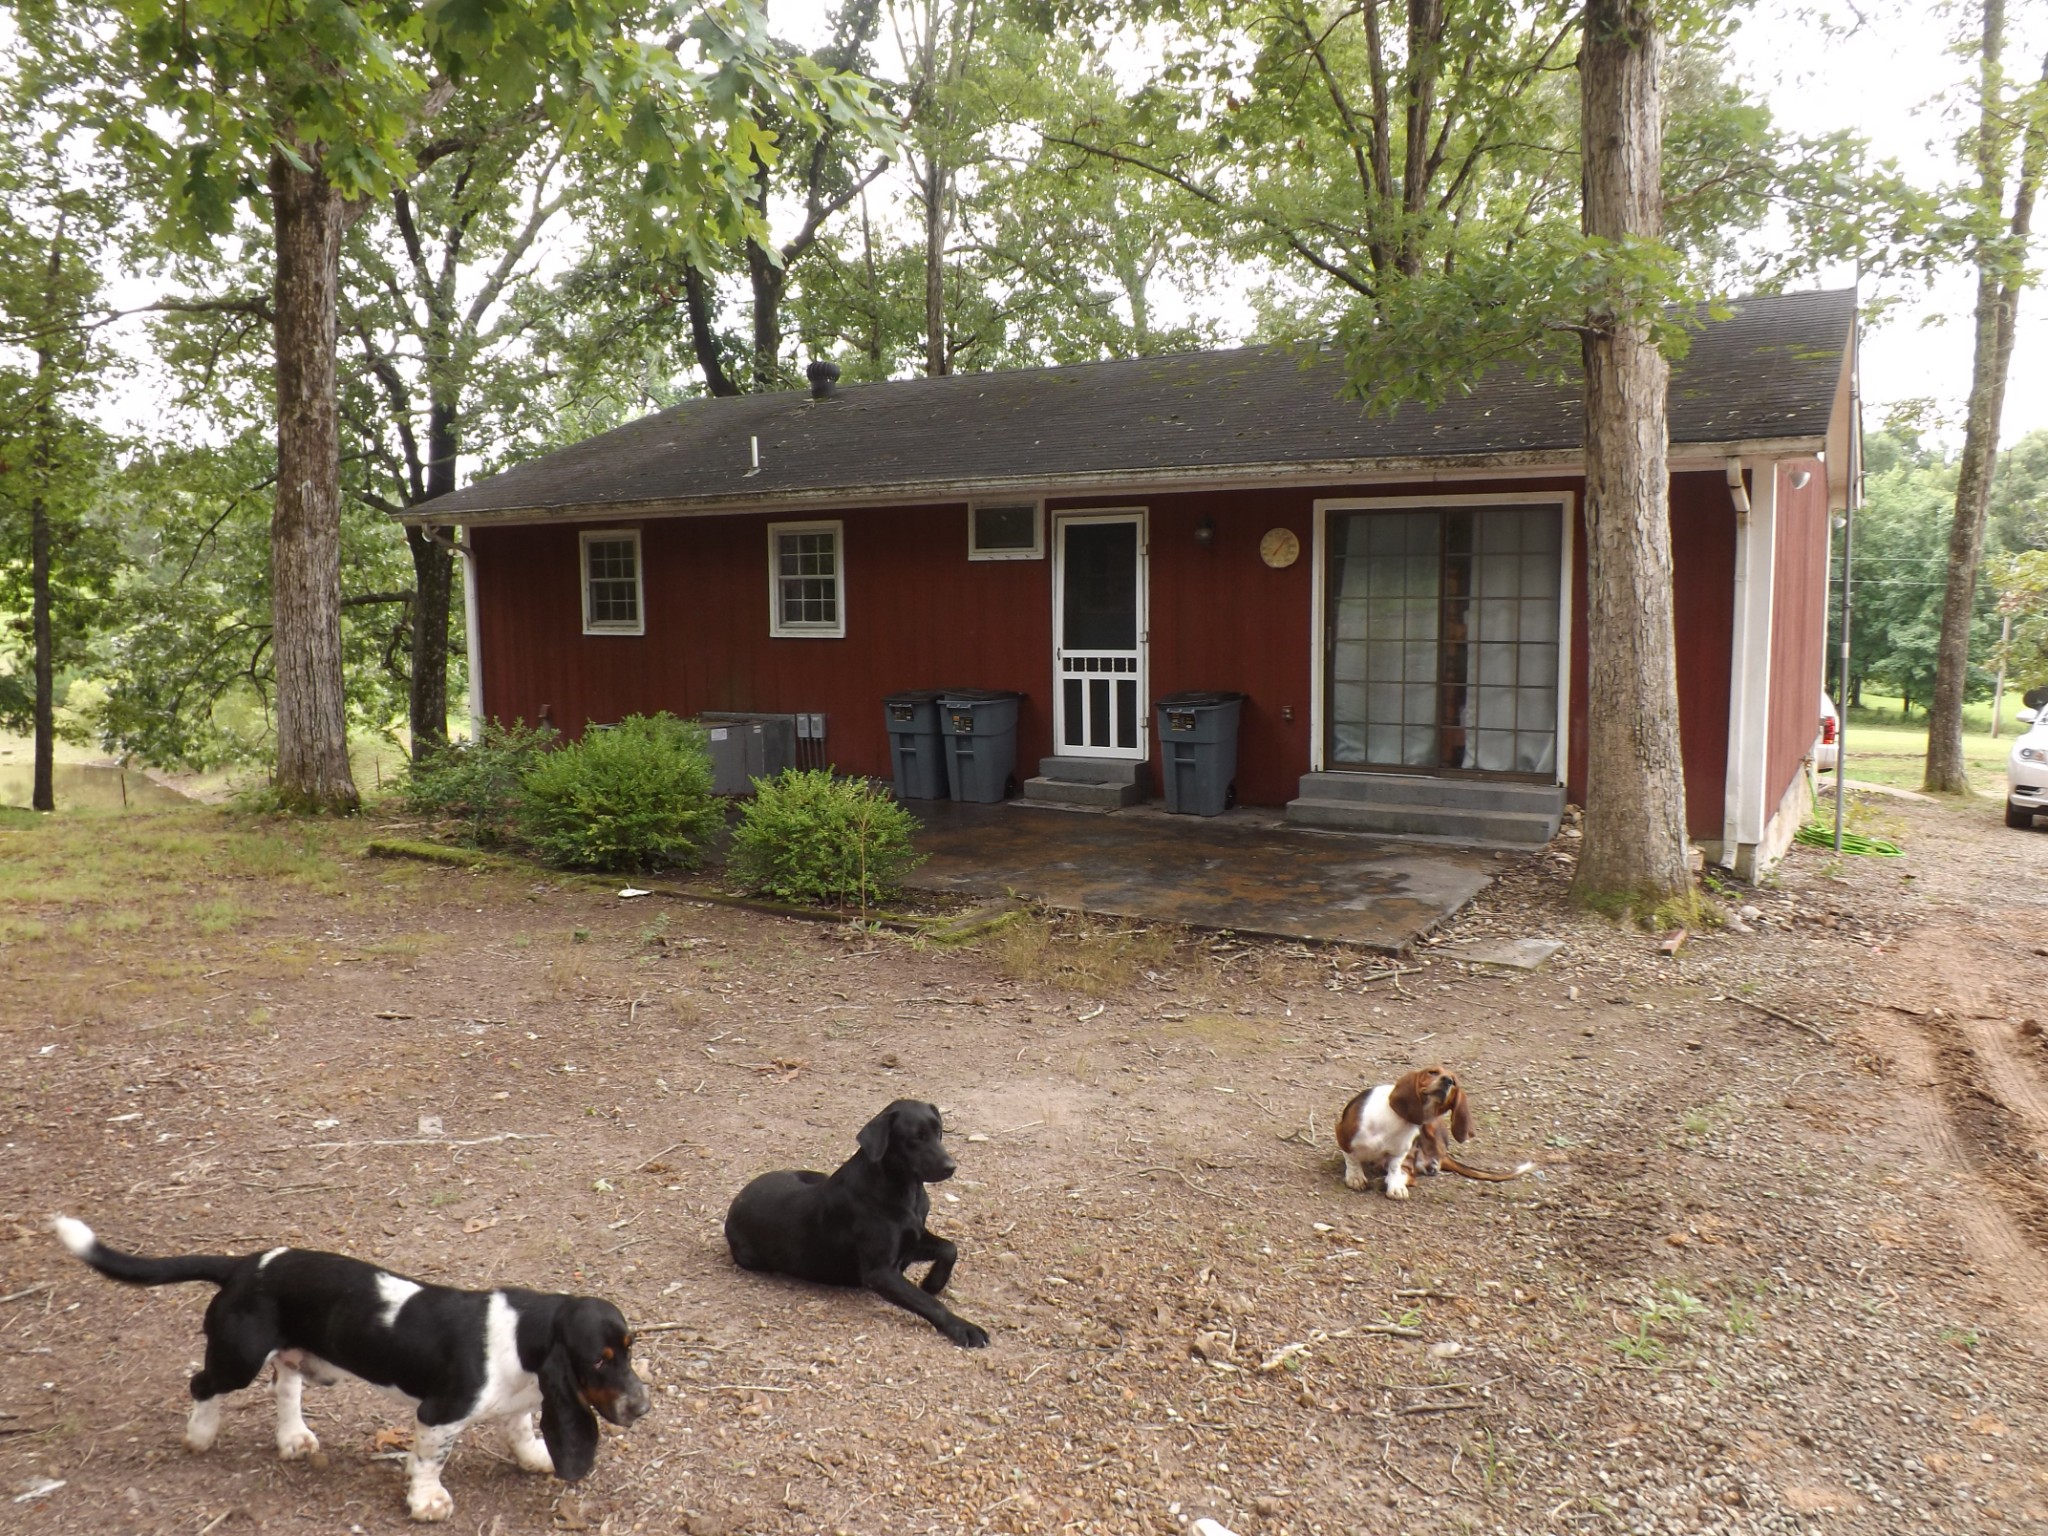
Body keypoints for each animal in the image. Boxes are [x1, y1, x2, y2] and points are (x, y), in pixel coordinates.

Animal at [52, 1216, 649, 1522]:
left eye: (630, 1348)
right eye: (599, 1360)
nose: (641, 1408)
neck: (526, 1333)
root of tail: (244, 1264)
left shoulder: (522, 1400)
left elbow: (522, 1429)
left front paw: (536, 1457)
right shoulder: (439, 1414)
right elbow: (429, 1460)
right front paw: (427, 1501)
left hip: (292, 1357)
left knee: (285, 1386)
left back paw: (293, 1438)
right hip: (237, 1359)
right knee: (203, 1385)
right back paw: (200, 1435)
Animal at [723, 1099, 989, 1348]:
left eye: (939, 1131)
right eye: (916, 1137)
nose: (951, 1167)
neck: (904, 1190)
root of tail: (738, 1197)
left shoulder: (914, 1239)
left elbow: (950, 1249)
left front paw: (933, 1282)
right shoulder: (880, 1272)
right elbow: (929, 1303)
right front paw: (964, 1328)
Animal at [1336, 1066, 1531, 1198]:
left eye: (1454, 1081)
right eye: (1432, 1072)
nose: (1447, 1081)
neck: (1399, 1121)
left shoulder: (1399, 1154)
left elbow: (1394, 1168)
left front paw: (1394, 1185)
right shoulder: (1343, 1136)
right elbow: (1352, 1159)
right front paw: (1355, 1177)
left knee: (1409, 1174)